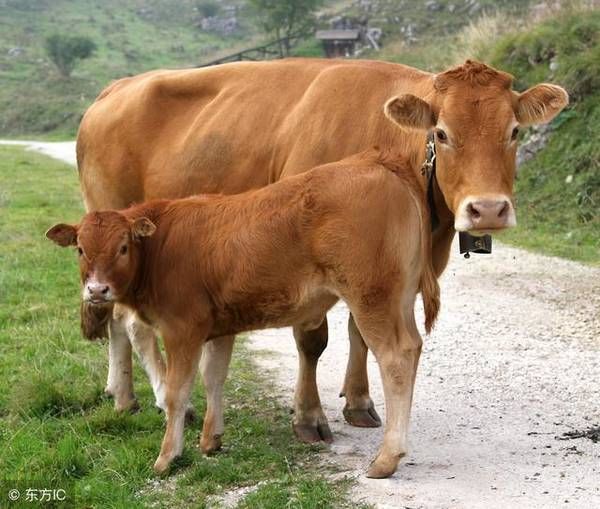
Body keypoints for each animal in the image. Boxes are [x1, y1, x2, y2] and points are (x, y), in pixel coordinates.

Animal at [47, 151, 438, 476]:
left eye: (124, 247)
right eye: (80, 249)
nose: (97, 290)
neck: (163, 245)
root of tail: (376, 160)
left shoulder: (181, 329)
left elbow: (177, 392)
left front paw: (167, 457)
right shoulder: (218, 328)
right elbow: (213, 377)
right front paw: (211, 440)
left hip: (372, 298)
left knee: (396, 357)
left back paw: (387, 458)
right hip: (399, 300)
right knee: (413, 346)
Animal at [76, 57, 568, 440]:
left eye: (514, 131)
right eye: (442, 133)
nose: (487, 210)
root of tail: (115, 88)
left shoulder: (381, 263)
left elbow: (361, 333)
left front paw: (359, 402)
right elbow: (313, 340)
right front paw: (308, 417)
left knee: (114, 316)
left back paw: (120, 394)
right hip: (115, 231)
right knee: (127, 321)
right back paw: (156, 397)